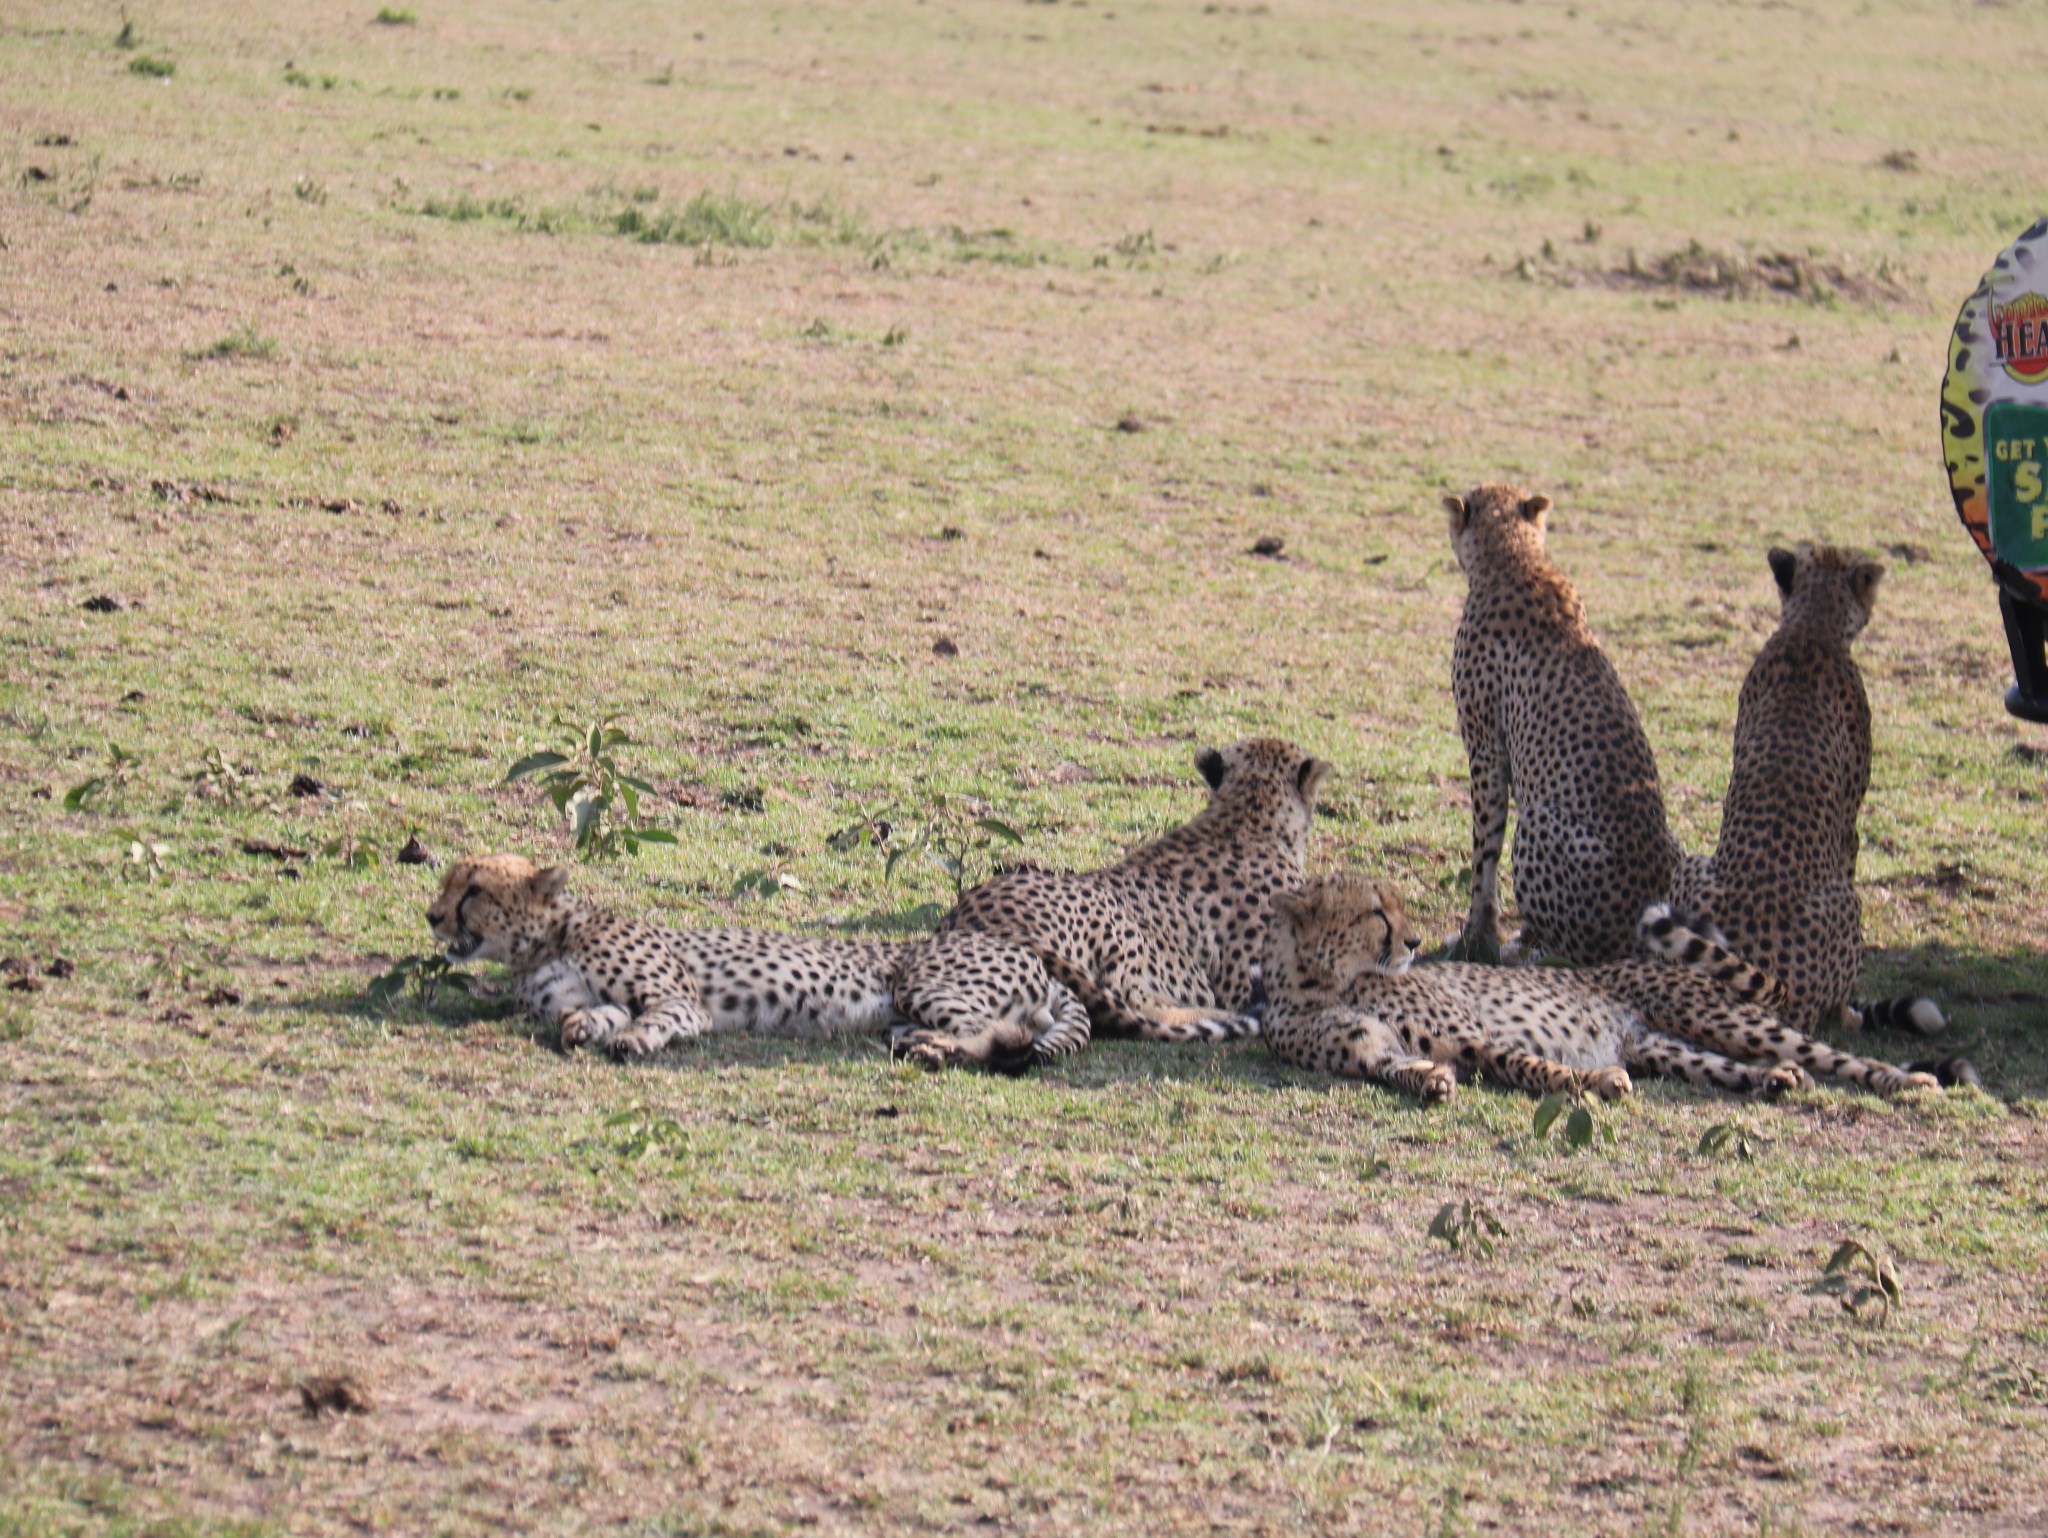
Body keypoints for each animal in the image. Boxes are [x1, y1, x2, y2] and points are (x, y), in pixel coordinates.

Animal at [425, 856, 1097, 1073]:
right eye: (448, 881)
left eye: (473, 889)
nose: (432, 917)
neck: (546, 942)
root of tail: (1033, 958)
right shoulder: (599, 996)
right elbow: (593, 1014)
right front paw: (583, 1028)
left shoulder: (682, 1002)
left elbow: (656, 1018)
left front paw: (634, 1041)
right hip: (908, 1010)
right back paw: (921, 1046)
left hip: (924, 983)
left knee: (1000, 1033)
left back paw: (941, 1050)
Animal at [937, 737, 1327, 1048]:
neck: (1247, 815)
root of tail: (966, 917)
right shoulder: (1248, 977)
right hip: (1112, 919)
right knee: (1131, 1001)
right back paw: (1217, 1014)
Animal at [1253, 872, 1957, 1097]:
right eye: (1377, 912)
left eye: (1395, 908)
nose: (1415, 942)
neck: (1324, 984)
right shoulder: (1370, 1055)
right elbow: (1399, 1066)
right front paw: (1428, 1082)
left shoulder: (1475, 1036)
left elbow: (1525, 1064)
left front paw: (1592, 1082)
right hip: (1667, 1047)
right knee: (1731, 1066)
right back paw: (1773, 1081)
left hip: (1724, 1019)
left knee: (1839, 1056)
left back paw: (1910, 1082)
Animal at [1441, 481, 1679, 962]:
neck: (1516, 557)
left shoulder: (1485, 751)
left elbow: (1484, 851)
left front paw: (1477, 934)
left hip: (1539, 822)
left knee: (1573, 956)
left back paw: (1527, 949)